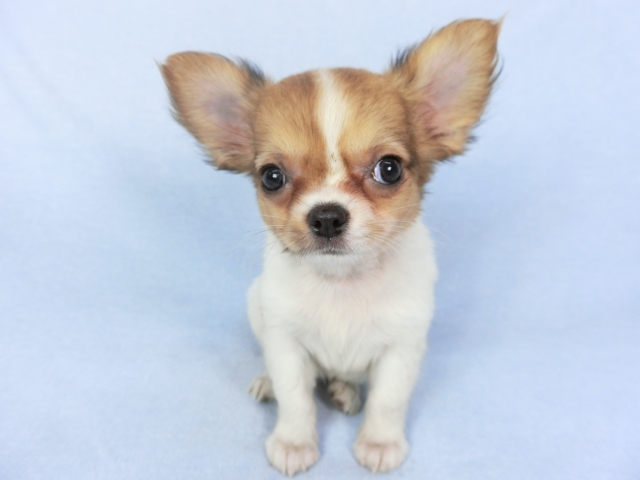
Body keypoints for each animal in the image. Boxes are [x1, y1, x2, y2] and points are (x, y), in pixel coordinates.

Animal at [161, 18, 500, 475]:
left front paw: (379, 442)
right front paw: (293, 442)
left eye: (389, 169)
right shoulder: (285, 340)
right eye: (271, 177)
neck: (343, 282)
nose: (326, 216)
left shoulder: (402, 348)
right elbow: (295, 398)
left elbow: (388, 401)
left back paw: (344, 391)